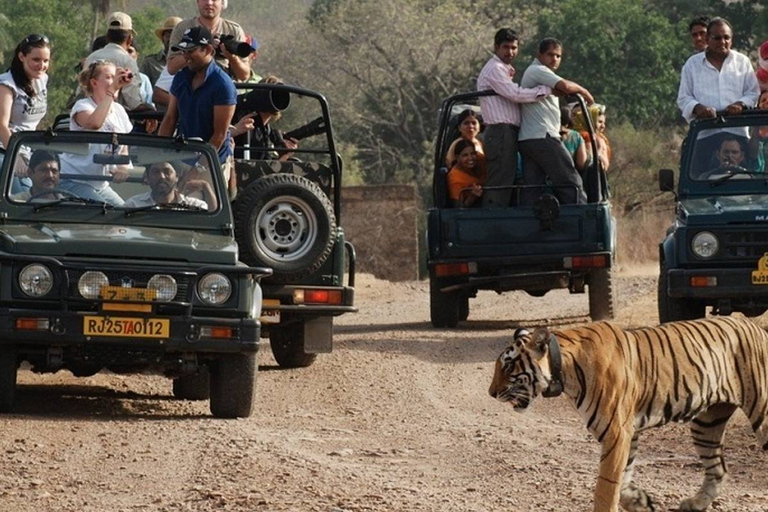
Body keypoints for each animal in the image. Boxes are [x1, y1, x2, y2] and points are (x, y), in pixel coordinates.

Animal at [486, 316, 768, 512]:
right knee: (718, 468)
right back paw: (694, 503)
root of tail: (756, 326)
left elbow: (606, 485)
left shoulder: (616, 432)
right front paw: (641, 502)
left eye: (508, 366)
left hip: (762, 412)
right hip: (707, 423)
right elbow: (623, 480)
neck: (564, 371)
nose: (491, 393)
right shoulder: (627, 433)